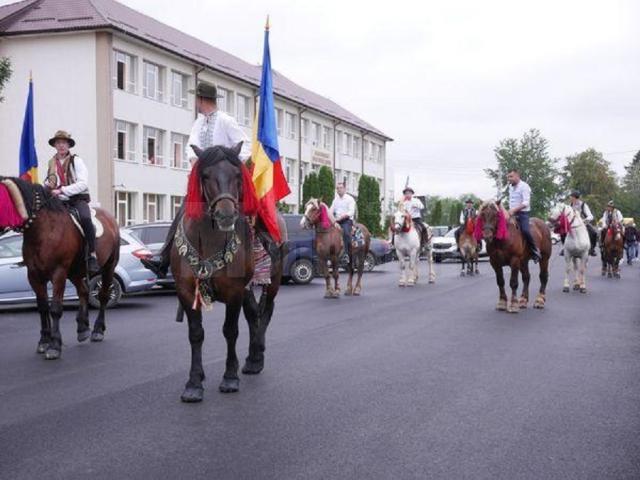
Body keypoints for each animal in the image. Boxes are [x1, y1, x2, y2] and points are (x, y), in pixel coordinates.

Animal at [0, 176, 119, 360]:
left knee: (103, 296)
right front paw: (44, 341)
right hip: (74, 272)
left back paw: (98, 330)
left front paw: (54, 345)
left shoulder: (58, 273)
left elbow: (55, 308)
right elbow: (43, 307)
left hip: (108, 267)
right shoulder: (34, 275)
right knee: (83, 291)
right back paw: (83, 328)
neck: (43, 229)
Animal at [174, 144, 286, 404]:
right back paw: (252, 358)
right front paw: (194, 382)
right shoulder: (186, 292)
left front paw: (229, 377)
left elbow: (230, 331)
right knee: (253, 314)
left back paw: (256, 359)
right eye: (205, 175)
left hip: (273, 282)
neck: (208, 240)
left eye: (237, 175)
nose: (225, 215)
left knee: (266, 312)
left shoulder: (234, 291)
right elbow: (196, 334)